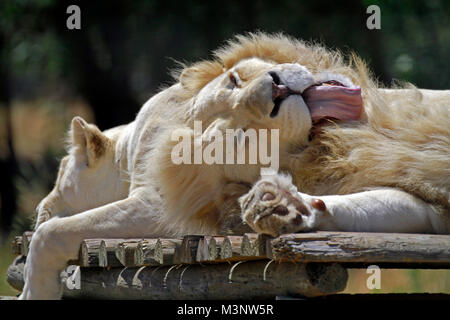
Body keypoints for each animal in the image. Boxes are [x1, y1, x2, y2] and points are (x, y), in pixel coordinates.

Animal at [20, 33, 450, 300]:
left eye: (235, 78)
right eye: (242, 135)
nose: (277, 87)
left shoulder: (155, 204)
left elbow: (53, 233)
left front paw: (33, 288)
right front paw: (287, 207)